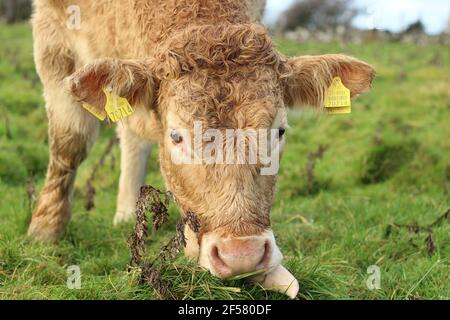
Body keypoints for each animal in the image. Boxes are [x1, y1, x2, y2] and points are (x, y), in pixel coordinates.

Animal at [26, 0, 374, 300]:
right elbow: (69, 143)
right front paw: (44, 231)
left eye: (279, 131)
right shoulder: (52, 36)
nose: (242, 255)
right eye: (176, 137)